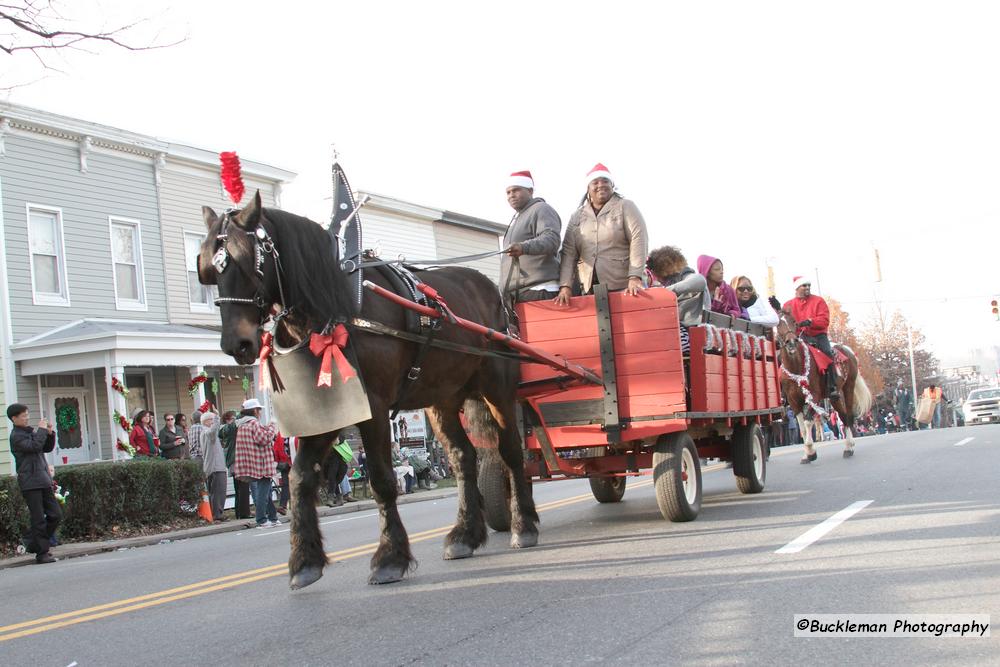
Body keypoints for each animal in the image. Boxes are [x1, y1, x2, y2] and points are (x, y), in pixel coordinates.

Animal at [197, 193, 540, 588]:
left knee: (511, 452)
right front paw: (304, 560)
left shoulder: (373, 406)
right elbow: (300, 478)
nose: (235, 344)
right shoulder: (326, 410)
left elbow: (381, 479)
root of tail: (492, 293)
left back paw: (523, 525)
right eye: (208, 271)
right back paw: (465, 534)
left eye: (248, 261)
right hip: (442, 398)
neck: (339, 309)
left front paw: (390, 557)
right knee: (462, 458)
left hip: (496, 389)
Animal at [776, 310, 872, 462]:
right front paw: (806, 454)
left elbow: (808, 422)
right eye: (778, 323)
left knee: (849, 415)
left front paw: (811, 451)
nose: (791, 342)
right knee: (843, 416)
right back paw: (848, 446)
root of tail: (847, 350)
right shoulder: (793, 401)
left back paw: (849, 447)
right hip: (834, 397)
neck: (796, 366)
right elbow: (802, 427)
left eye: (794, 322)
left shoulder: (814, 396)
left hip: (848, 387)